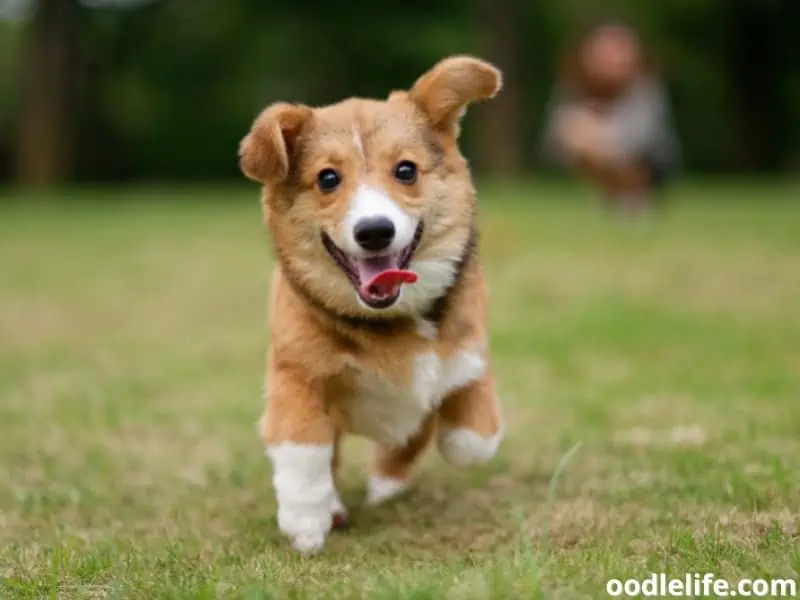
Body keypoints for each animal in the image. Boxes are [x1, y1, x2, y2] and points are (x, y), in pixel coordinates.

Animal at [241, 56, 506, 552]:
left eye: (406, 171)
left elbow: (470, 437)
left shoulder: (471, 348)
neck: (388, 318)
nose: (375, 231)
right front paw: (307, 522)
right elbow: (304, 453)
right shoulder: (296, 376)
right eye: (328, 178)